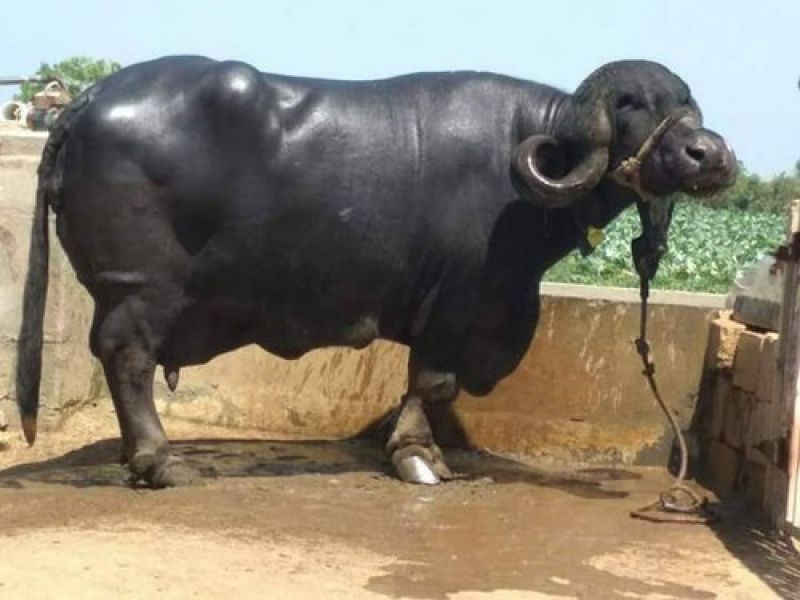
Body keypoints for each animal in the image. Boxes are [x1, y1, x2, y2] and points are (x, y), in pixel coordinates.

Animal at [16, 56, 735, 487]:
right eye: (632, 102)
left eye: (686, 101)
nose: (711, 154)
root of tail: (90, 98)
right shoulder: (460, 298)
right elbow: (434, 381)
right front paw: (419, 456)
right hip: (142, 291)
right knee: (127, 356)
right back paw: (158, 460)